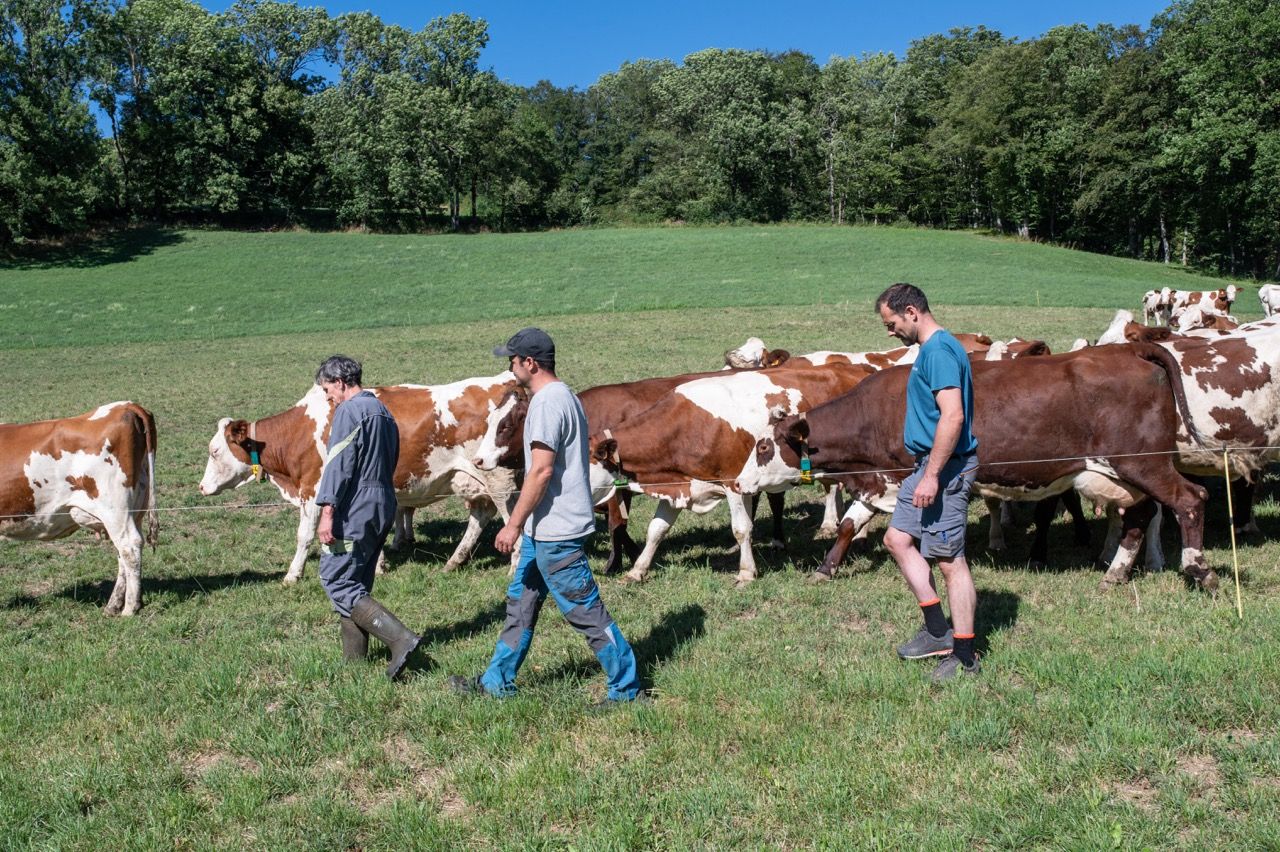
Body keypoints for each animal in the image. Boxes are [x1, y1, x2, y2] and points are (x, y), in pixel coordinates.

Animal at [0, 401, 158, 614]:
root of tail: (126, 405)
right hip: (135, 508)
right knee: (123, 553)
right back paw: (113, 605)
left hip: (115, 509)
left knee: (129, 547)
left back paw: (130, 608)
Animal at [197, 373, 517, 580]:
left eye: (214, 451)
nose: (201, 487)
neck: (301, 431)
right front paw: (378, 564)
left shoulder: (313, 490)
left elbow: (304, 535)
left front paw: (292, 575)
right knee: (480, 516)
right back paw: (454, 561)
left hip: (500, 481)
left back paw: (513, 568)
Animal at [737, 345, 1213, 591]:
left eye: (763, 445)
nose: (738, 482)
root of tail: (1133, 351)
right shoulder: (878, 480)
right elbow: (848, 526)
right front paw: (826, 568)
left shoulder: (908, 480)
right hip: (1125, 474)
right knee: (1141, 515)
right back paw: (1115, 573)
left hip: (1144, 464)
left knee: (1190, 499)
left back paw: (1198, 570)